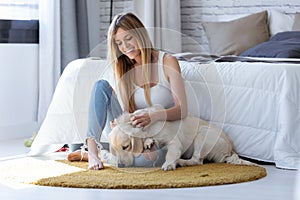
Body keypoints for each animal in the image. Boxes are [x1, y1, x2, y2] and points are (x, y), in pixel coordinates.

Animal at [108, 106, 255, 170]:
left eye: (126, 146)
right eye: (114, 150)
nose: (120, 165)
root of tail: (230, 149)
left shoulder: (174, 141)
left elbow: (171, 153)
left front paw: (169, 164)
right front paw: (148, 142)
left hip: (202, 133)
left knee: (196, 160)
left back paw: (180, 161)